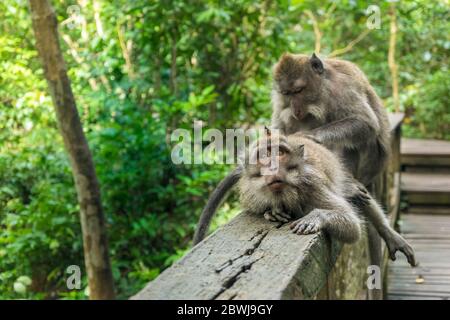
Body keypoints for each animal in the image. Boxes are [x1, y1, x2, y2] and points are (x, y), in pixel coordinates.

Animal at [192, 53, 416, 264]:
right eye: (287, 93)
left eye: (299, 90)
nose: (296, 108)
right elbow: (280, 122)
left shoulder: (343, 88)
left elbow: (365, 122)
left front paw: (308, 137)